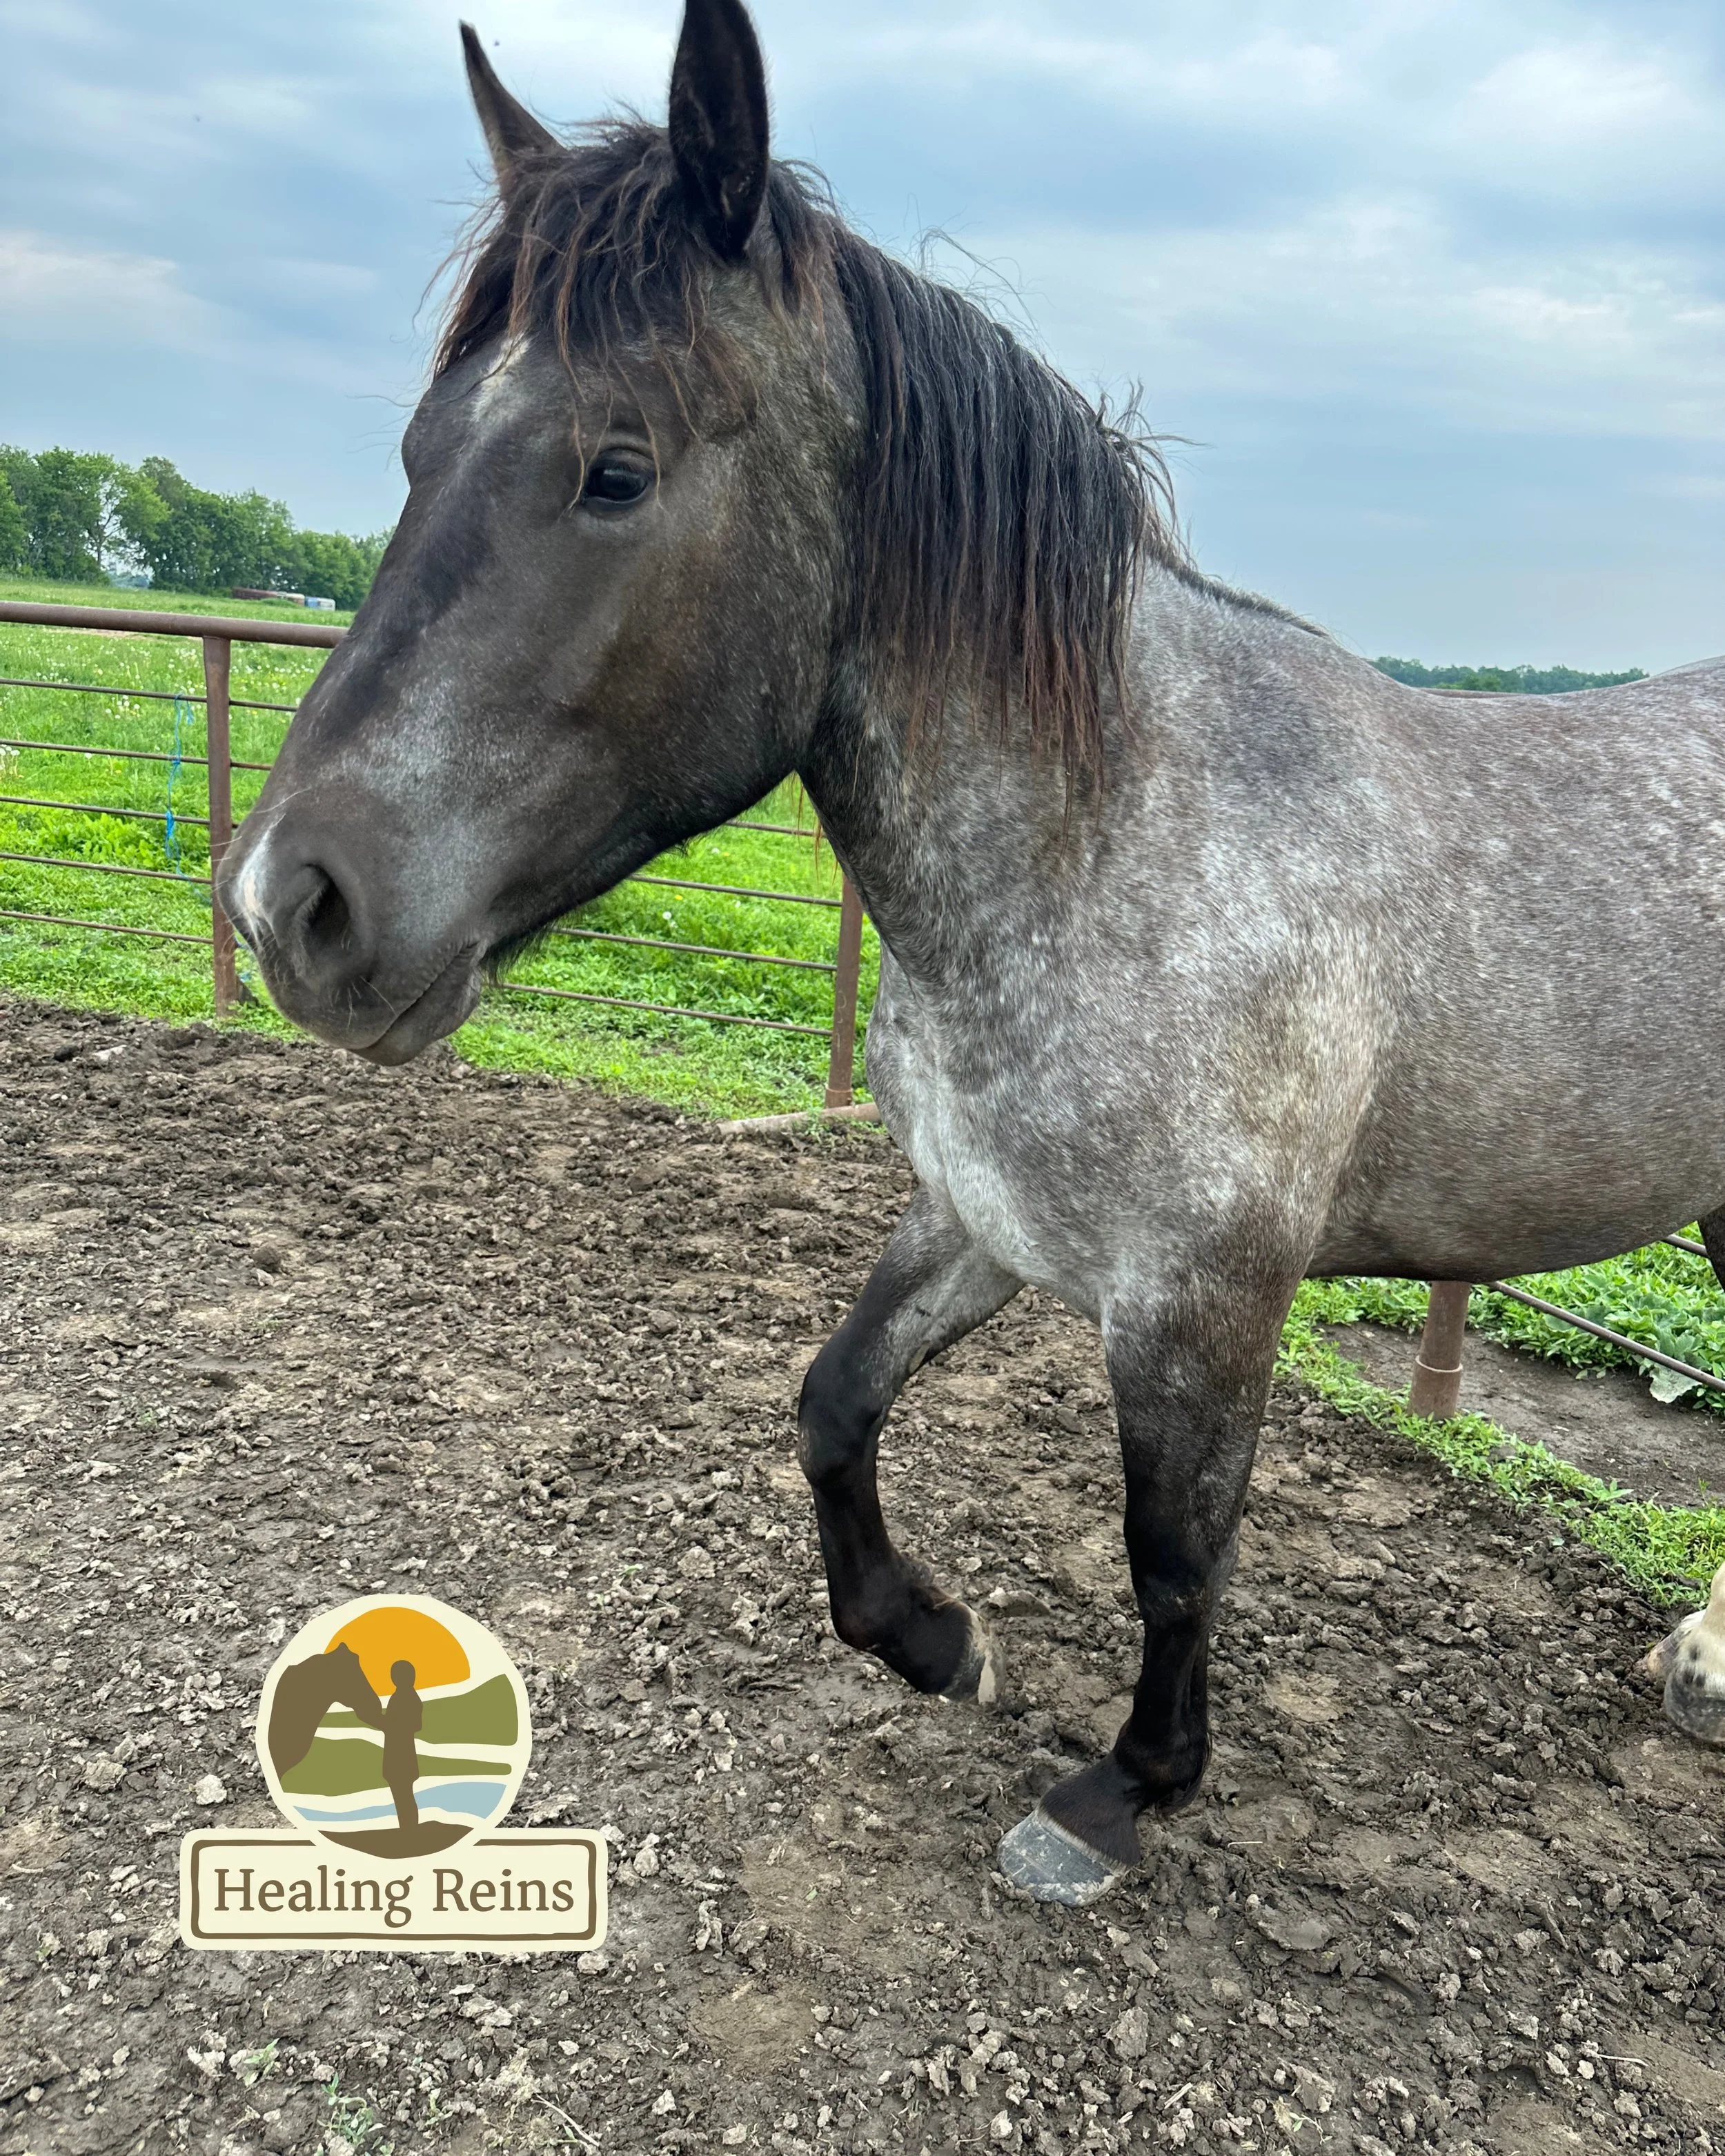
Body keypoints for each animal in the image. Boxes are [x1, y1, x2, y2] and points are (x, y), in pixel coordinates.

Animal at [219, 0, 1725, 1904]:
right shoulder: (980, 1218)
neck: (1117, 839)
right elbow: (830, 1399)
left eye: (614, 469)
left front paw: (1123, 1788)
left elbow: (1174, 1549)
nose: (288, 905)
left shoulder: (1200, 1303)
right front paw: (932, 1638)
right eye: (418, 454)